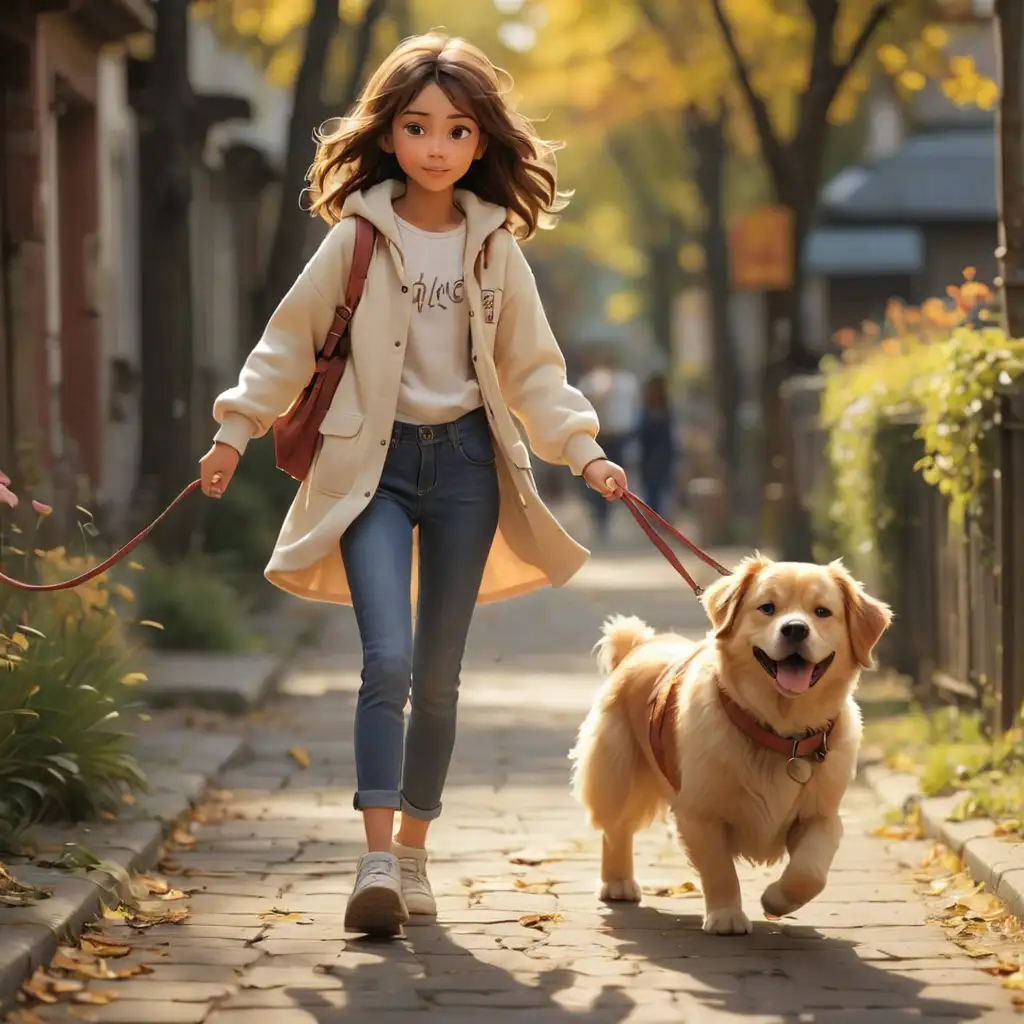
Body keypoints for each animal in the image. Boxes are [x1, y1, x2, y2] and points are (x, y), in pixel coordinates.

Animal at [573, 557, 892, 933]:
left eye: (822, 612)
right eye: (767, 608)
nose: (795, 629)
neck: (781, 734)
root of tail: (639, 645)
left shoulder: (821, 815)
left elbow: (811, 871)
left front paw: (777, 900)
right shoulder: (699, 813)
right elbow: (719, 869)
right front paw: (726, 916)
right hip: (618, 777)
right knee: (615, 829)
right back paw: (618, 883)